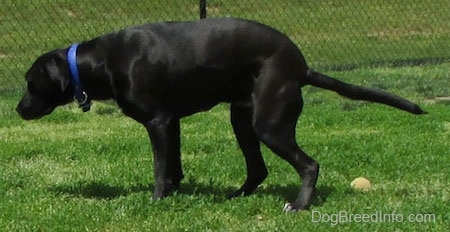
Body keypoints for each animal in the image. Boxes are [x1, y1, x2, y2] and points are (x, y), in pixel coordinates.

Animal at [15, 17, 424, 211]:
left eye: (30, 83)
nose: (17, 109)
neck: (99, 61)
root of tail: (300, 67)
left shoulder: (158, 122)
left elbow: (160, 168)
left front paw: (156, 201)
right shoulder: (171, 122)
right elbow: (173, 166)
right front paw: (174, 192)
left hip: (269, 123)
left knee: (309, 165)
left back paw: (300, 204)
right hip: (242, 119)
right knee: (258, 170)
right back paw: (237, 195)